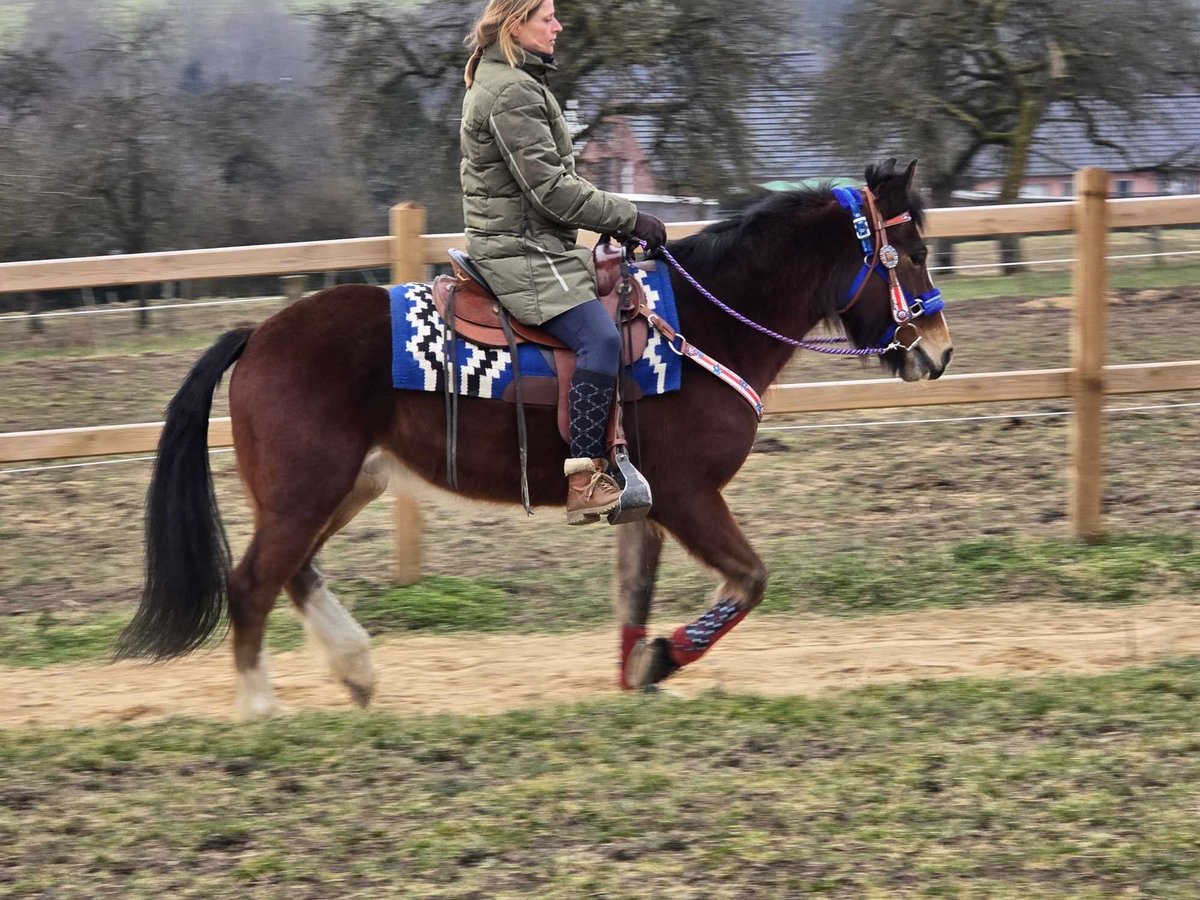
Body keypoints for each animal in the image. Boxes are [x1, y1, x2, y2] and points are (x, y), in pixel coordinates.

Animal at [117, 157, 950, 720]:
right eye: (910, 255)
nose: (938, 352)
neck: (703, 326)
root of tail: (259, 334)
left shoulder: (646, 505)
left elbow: (635, 593)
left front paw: (635, 672)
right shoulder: (688, 497)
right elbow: (749, 580)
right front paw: (662, 660)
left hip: (343, 486)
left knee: (293, 573)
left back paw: (356, 671)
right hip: (306, 491)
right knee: (253, 581)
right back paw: (261, 707)